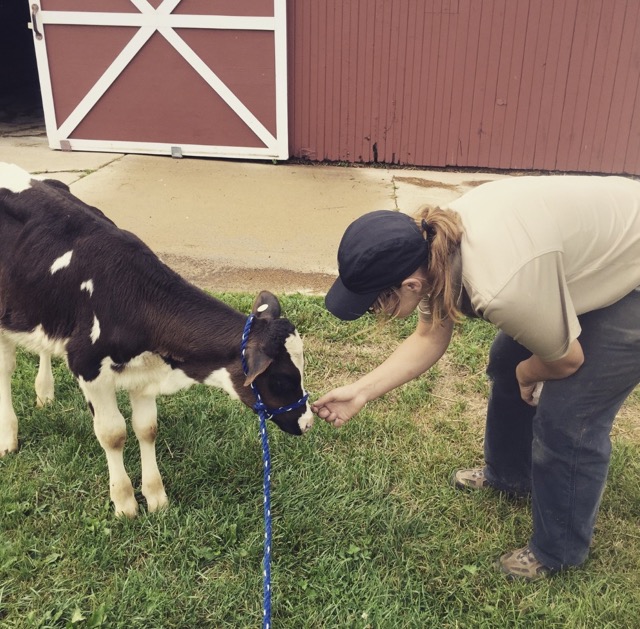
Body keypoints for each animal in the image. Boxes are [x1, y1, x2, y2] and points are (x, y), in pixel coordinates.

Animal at [0, 162, 313, 517]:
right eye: (281, 379)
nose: (308, 422)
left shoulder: (145, 371)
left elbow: (146, 429)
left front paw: (156, 497)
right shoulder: (88, 368)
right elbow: (113, 434)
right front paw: (124, 502)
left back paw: (44, 393)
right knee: (6, 369)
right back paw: (8, 437)